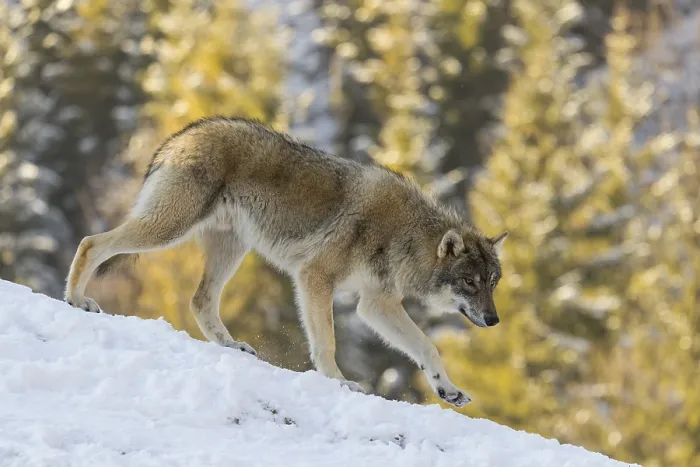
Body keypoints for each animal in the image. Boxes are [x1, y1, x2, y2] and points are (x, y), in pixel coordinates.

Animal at [64, 117, 507, 407]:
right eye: (470, 282)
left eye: (492, 283)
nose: (494, 320)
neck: (406, 236)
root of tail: (183, 134)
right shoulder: (316, 279)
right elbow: (326, 342)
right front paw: (339, 383)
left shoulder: (375, 304)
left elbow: (428, 348)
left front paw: (448, 390)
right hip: (169, 230)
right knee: (91, 242)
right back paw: (76, 300)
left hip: (231, 249)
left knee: (199, 301)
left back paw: (232, 345)